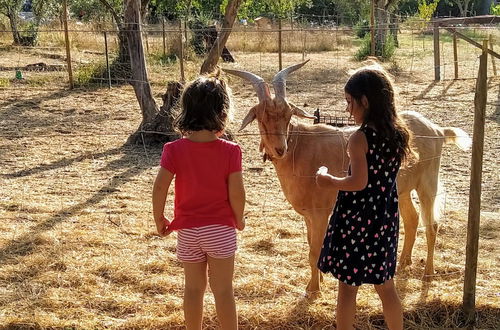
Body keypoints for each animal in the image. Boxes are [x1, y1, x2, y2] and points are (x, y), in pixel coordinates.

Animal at [225, 61, 470, 296]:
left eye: (287, 115)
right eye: (261, 117)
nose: (279, 149)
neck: (299, 148)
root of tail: (437, 130)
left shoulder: (321, 212)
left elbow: (314, 250)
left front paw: (314, 290)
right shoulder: (308, 215)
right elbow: (310, 245)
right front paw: (317, 282)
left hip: (428, 183)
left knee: (432, 225)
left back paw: (428, 273)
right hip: (402, 190)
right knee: (413, 219)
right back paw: (403, 263)